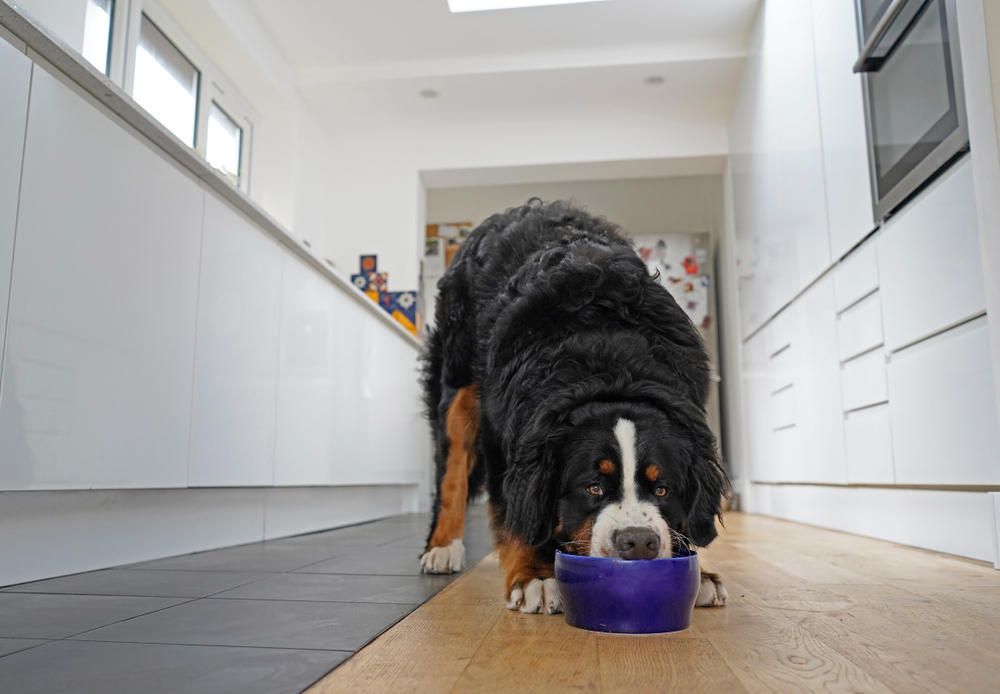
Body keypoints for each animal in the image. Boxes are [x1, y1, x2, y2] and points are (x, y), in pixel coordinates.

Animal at [420, 200, 728, 616]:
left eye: (662, 489)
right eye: (592, 487)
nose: (639, 542)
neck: (611, 368)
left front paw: (700, 572)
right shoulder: (504, 438)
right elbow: (518, 512)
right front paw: (534, 574)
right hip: (458, 381)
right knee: (451, 469)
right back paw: (442, 547)